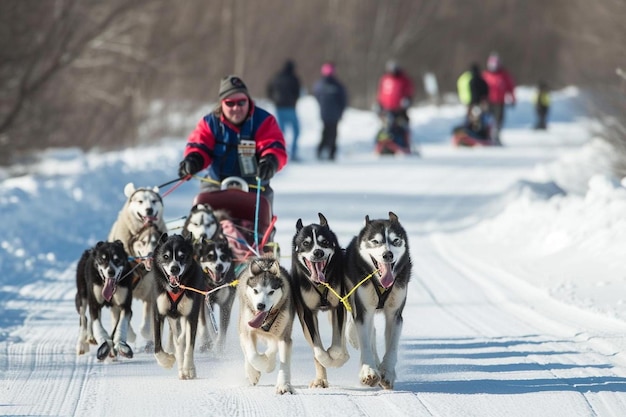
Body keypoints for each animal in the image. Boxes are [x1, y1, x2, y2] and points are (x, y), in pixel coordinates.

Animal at [150, 234, 204, 376]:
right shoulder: (159, 314)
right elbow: (157, 348)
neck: (175, 289)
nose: (175, 269)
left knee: (181, 339)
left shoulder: (191, 316)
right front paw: (167, 361)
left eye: (182, 256)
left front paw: (188, 368)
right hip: (173, 320)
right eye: (165, 256)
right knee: (177, 340)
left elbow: (189, 345)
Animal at [236, 255, 294, 394]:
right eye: (255, 290)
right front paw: (255, 372)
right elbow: (252, 355)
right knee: (247, 352)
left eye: (271, 291)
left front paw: (283, 385)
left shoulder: (284, 336)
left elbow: (283, 359)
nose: (260, 306)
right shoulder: (247, 331)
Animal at [290, 213, 348, 388]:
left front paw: (336, 358)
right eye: (305, 243)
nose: (317, 252)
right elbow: (318, 352)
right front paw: (327, 360)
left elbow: (337, 348)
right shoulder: (307, 314)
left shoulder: (338, 307)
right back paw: (320, 379)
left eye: (325, 242)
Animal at [342, 211, 410, 390]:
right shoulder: (363, 312)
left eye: (395, 240)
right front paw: (368, 371)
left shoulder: (395, 315)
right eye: (375, 241)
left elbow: (392, 347)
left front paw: (387, 372)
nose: (388, 254)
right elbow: (366, 343)